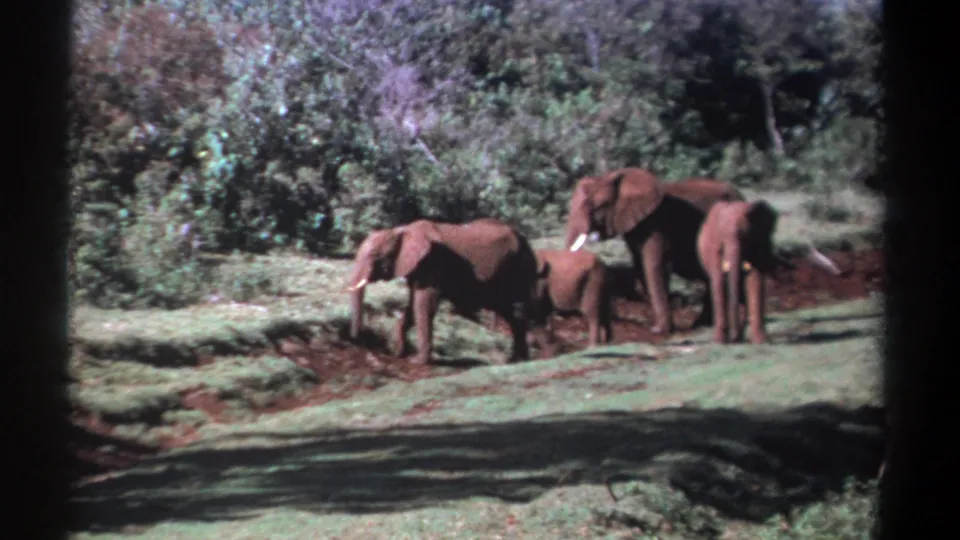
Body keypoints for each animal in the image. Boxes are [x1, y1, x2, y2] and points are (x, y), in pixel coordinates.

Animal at [346, 218, 545, 364]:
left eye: (374, 255)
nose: (359, 340)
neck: (402, 230)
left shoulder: (433, 263)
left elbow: (424, 305)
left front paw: (417, 361)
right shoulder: (416, 267)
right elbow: (412, 304)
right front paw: (398, 352)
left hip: (519, 268)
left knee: (517, 311)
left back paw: (517, 360)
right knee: (510, 313)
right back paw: (516, 360)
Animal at [696, 199, 845, 344]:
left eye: (746, 238)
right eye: (722, 240)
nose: (734, 339)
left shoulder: (761, 243)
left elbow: (755, 280)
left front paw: (761, 342)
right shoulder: (713, 249)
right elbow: (719, 282)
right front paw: (720, 343)